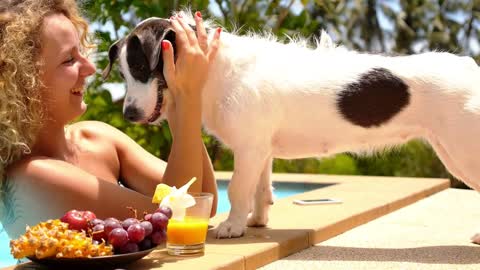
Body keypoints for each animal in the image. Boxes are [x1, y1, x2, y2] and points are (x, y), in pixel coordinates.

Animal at [101, 11, 480, 238]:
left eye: (141, 67)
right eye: (122, 72)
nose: (129, 115)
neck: (212, 67)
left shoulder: (249, 148)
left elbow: (237, 189)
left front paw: (232, 226)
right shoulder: (261, 151)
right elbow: (260, 189)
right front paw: (255, 221)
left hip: (464, 151)